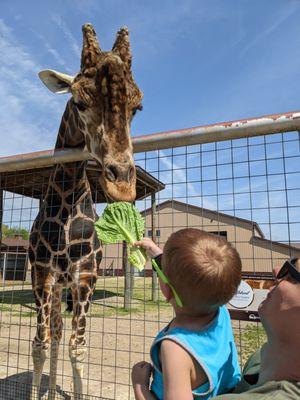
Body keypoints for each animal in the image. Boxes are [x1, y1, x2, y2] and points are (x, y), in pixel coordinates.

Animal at [28, 23, 142, 398]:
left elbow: (79, 347)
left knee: (62, 332)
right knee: (53, 331)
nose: (123, 184)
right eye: (79, 102)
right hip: (53, 287)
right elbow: (39, 344)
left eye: (137, 107)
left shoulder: (86, 276)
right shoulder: (43, 275)